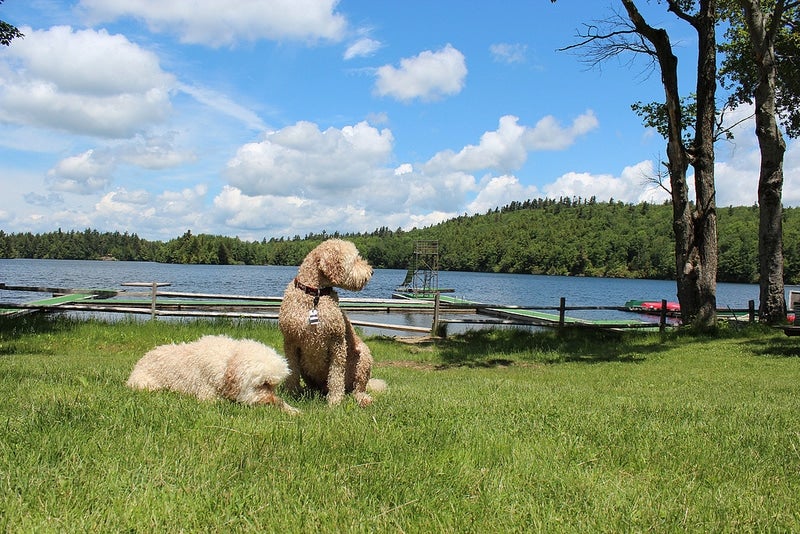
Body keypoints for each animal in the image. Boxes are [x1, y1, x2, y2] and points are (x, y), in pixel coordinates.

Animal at [126, 336, 298, 418]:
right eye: (263, 383)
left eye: (274, 386)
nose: (270, 402)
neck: (229, 360)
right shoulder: (208, 397)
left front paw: (292, 410)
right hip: (146, 384)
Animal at [278, 239, 384, 406]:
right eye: (355, 259)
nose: (372, 271)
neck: (315, 295)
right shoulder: (290, 342)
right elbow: (292, 371)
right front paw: (291, 393)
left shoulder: (337, 342)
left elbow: (336, 374)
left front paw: (334, 401)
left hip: (364, 357)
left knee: (358, 387)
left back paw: (362, 398)